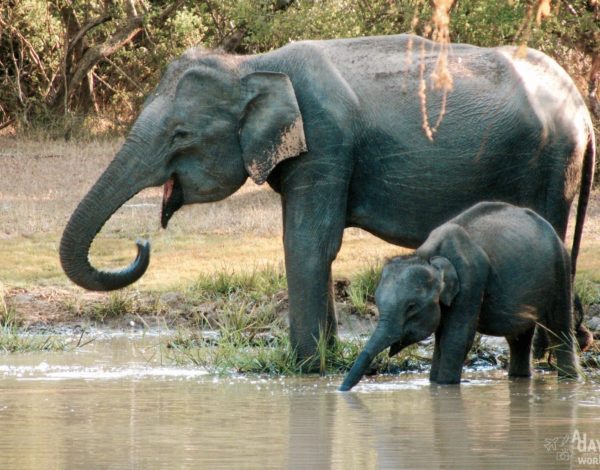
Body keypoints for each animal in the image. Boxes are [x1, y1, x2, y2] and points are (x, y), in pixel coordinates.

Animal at [58, 35, 592, 362]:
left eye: (179, 135)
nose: (140, 242)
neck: (253, 65)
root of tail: (582, 107)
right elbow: (315, 243)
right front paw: (326, 357)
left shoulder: (327, 142)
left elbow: (308, 243)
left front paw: (306, 367)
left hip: (551, 163)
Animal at [340, 202, 580, 390]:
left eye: (411, 307)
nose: (341, 390)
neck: (429, 256)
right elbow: (441, 339)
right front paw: (434, 383)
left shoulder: (471, 280)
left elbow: (456, 338)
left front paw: (445, 386)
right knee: (518, 338)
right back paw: (519, 379)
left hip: (560, 270)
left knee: (560, 330)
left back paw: (569, 379)